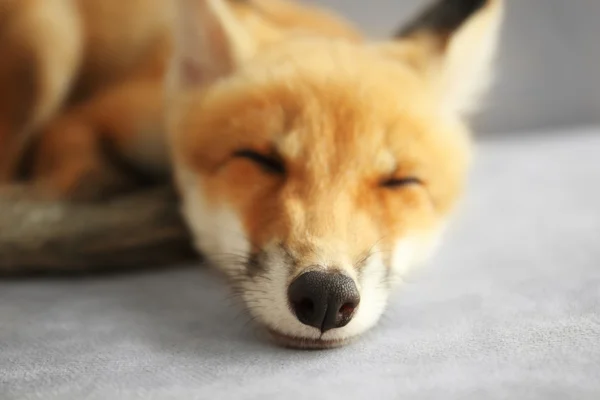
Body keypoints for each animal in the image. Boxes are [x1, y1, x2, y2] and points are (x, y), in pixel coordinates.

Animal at [0, 0, 504, 348]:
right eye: (261, 160)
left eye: (399, 182)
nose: (324, 296)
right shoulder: (89, 119)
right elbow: (75, 179)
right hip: (47, 40)